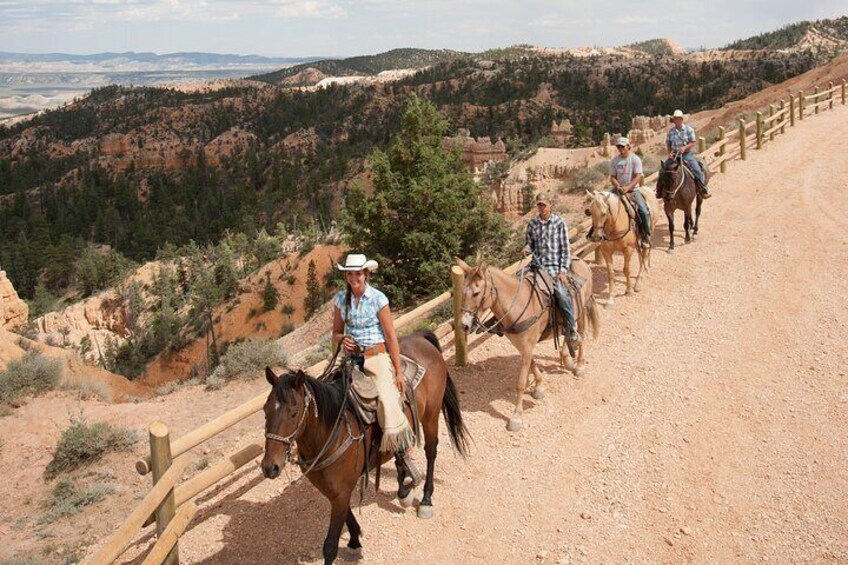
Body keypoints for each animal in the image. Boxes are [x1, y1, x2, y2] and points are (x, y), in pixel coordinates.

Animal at [260, 330, 468, 564]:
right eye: (265, 410)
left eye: (294, 413)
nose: (270, 467)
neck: (331, 432)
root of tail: (419, 337)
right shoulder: (333, 491)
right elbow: (348, 516)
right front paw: (354, 539)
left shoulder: (341, 491)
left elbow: (330, 546)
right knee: (401, 455)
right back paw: (404, 489)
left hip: (431, 416)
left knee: (431, 452)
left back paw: (425, 500)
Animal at [458, 256, 596, 432]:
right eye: (462, 292)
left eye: (476, 293)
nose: (464, 325)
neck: (518, 305)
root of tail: (581, 261)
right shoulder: (522, 346)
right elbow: (532, 364)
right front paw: (539, 387)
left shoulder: (527, 346)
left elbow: (521, 382)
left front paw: (516, 418)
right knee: (567, 331)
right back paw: (567, 358)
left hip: (582, 310)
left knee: (581, 334)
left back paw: (579, 366)